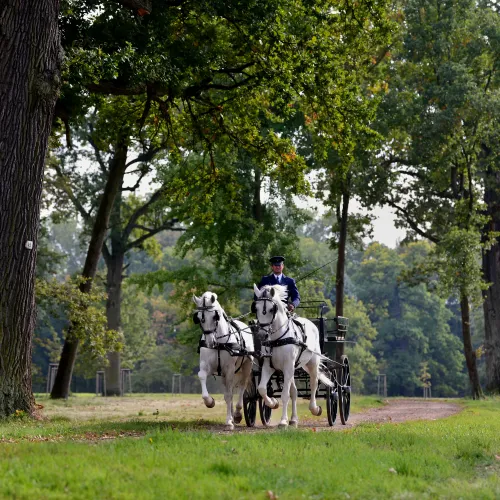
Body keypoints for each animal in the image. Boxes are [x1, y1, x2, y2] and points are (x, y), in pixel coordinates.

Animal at [191, 292, 254, 430]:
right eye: (199, 318)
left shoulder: (229, 370)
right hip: (224, 375)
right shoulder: (207, 367)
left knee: (242, 387)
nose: (210, 342)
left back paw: (237, 414)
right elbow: (202, 377)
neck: (219, 343)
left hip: (247, 366)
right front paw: (210, 402)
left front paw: (229, 422)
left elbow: (230, 395)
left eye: (215, 317)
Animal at [252, 284, 334, 428]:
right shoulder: (269, 366)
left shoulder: (288, 366)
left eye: (271, 309)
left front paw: (283, 421)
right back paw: (294, 419)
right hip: (291, 370)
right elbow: (262, 389)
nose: (262, 335)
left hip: (311, 364)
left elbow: (285, 395)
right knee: (294, 392)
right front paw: (273, 403)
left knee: (313, 384)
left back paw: (314, 408)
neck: (277, 339)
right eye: (256, 308)